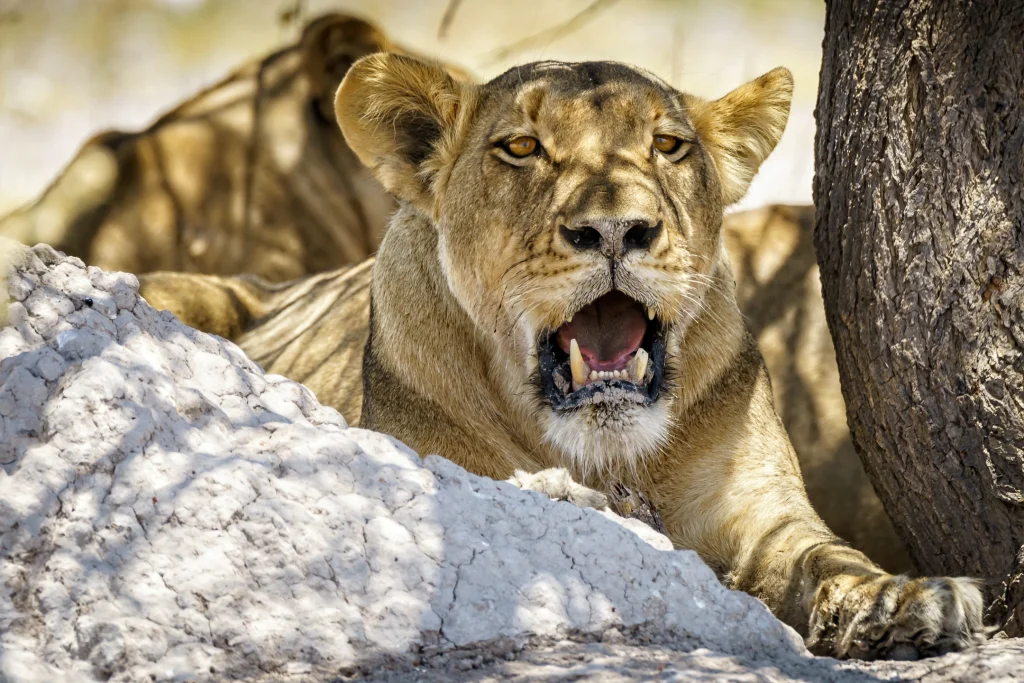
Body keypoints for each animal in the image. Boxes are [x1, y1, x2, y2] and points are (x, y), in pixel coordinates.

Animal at [138, 54, 987, 658]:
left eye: (668, 146)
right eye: (522, 147)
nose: (616, 230)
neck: (605, 454)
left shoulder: (760, 512)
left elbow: (825, 554)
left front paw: (906, 598)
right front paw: (572, 497)